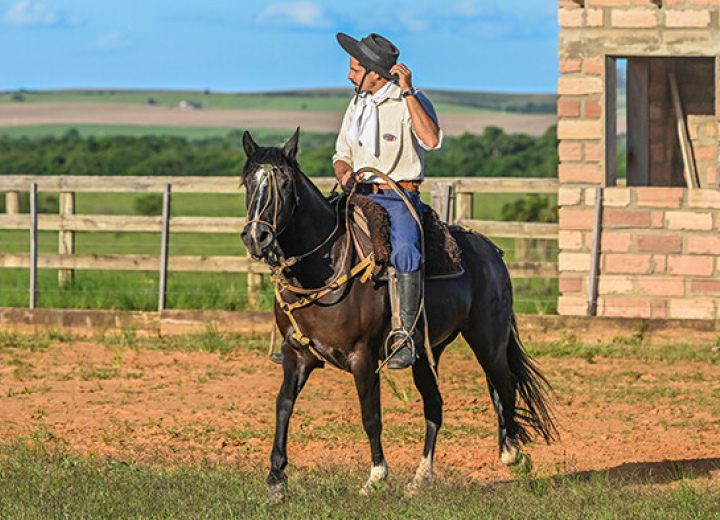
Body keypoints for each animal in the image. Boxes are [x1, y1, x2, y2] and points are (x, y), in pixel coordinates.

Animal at [242, 128, 556, 502]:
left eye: (285, 184)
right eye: (247, 182)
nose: (256, 236)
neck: (322, 268)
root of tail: (491, 251)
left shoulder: (362, 357)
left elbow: (371, 416)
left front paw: (377, 476)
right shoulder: (296, 355)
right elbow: (283, 406)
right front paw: (276, 479)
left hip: (488, 341)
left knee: (504, 386)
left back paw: (513, 454)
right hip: (424, 352)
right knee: (435, 406)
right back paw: (421, 477)